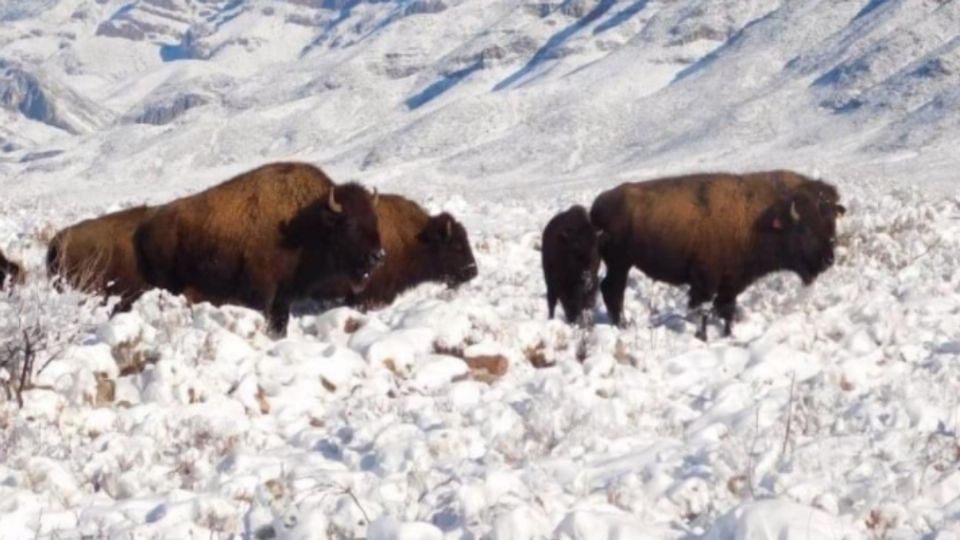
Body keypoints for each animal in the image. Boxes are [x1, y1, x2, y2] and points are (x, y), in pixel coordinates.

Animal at [132, 162, 386, 336]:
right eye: (349, 224)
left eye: (375, 219)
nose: (378, 256)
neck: (306, 222)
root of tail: (144, 227)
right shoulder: (261, 290)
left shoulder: (285, 293)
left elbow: (280, 322)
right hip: (167, 284)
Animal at [592, 169, 848, 340]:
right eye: (805, 229)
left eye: (832, 224)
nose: (828, 259)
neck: (758, 217)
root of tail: (599, 204)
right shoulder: (705, 282)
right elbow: (702, 308)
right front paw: (702, 335)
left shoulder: (732, 282)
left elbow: (726, 309)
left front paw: (728, 334)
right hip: (620, 263)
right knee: (612, 290)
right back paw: (623, 325)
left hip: (621, 264)